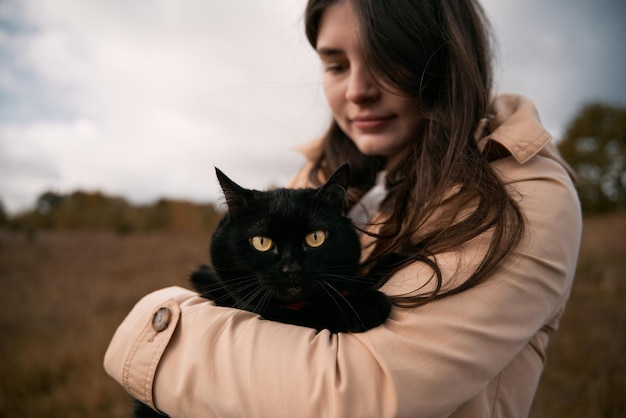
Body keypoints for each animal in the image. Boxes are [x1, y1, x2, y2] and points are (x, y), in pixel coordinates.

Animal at [133, 164, 388, 418]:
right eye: (261, 242)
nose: (292, 268)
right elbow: (308, 312)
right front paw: (366, 305)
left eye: (315, 237)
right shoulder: (254, 306)